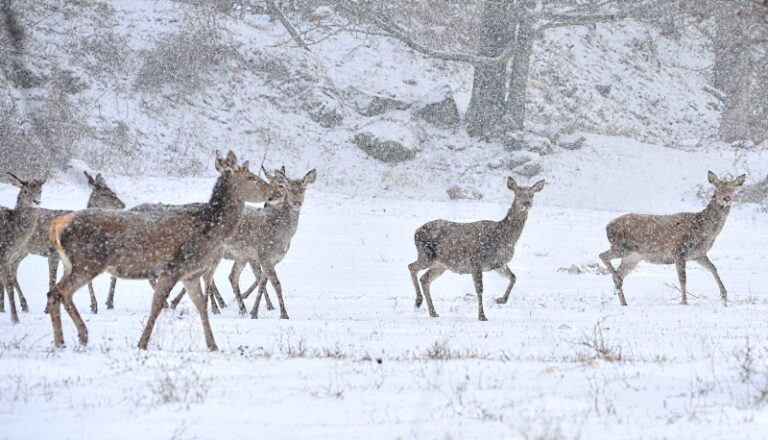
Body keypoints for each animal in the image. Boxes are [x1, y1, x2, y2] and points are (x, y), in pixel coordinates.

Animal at [0, 173, 45, 324]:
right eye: (25, 191)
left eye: (40, 190)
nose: (36, 201)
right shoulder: (3, 254)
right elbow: (8, 285)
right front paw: (15, 319)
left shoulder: (9, 257)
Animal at [13, 170, 126, 314]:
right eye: (108, 194)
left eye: (113, 193)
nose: (123, 205)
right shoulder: (53, 253)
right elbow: (53, 280)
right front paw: (48, 308)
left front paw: (93, 305)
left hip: (23, 250)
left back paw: (22, 304)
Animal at [45, 151, 280, 350]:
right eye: (251, 177)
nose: (276, 192)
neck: (208, 228)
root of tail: (57, 225)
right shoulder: (173, 267)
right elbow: (157, 306)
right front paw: (142, 343)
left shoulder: (190, 274)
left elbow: (201, 306)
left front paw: (213, 345)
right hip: (87, 261)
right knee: (61, 291)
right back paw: (79, 336)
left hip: (72, 263)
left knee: (54, 292)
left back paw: (63, 340)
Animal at [404, 177, 544, 322]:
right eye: (517, 193)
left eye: (532, 194)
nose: (526, 203)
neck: (504, 238)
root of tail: (416, 231)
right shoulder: (476, 261)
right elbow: (480, 289)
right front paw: (482, 316)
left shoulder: (499, 264)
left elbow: (513, 277)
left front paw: (500, 300)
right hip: (426, 254)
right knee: (411, 266)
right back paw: (418, 302)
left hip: (440, 264)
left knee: (424, 279)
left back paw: (433, 312)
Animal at [600, 170, 744, 308]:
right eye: (718, 188)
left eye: (733, 189)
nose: (726, 198)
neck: (704, 229)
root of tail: (607, 226)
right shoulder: (679, 251)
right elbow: (683, 278)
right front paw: (684, 302)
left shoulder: (699, 254)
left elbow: (713, 268)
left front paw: (724, 298)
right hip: (622, 246)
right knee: (603, 256)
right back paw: (617, 283)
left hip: (633, 256)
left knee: (619, 271)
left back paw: (623, 301)